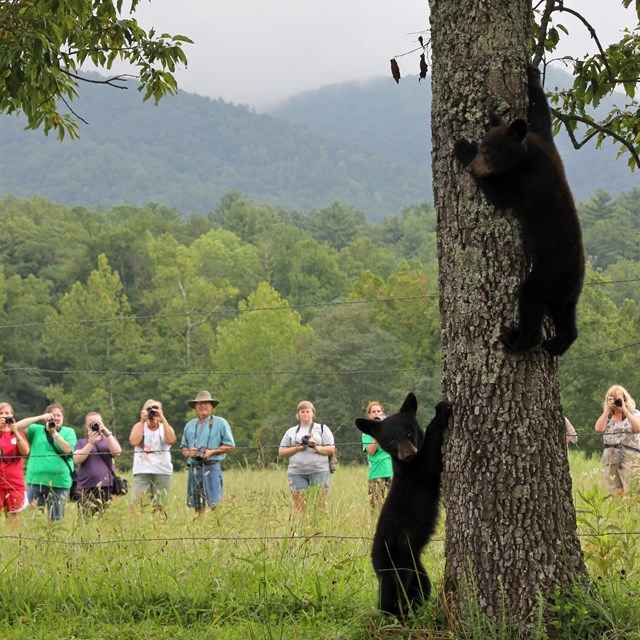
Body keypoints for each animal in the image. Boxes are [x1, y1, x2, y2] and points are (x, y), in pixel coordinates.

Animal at [355, 393, 452, 618]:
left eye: (409, 433)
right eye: (392, 440)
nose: (408, 454)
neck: (406, 464)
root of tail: (373, 557)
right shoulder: (418, 470)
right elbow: (430, 454)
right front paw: (440, 412)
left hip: (416, 567)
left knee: (420, 588)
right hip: (392, 564)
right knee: (390, 593)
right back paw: (393, 615)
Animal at [453, 65, 584, 356]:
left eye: (490, 152)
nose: (473, 167)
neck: (525, 155)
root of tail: (575, 276)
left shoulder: (527, 183)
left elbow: (499, 193)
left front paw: (463, 150)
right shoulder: (544, 139)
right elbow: (540, 115)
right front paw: (533, 75)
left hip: (550, 273)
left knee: (531, 297)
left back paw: (518, 339)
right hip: (565, 296)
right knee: (566, 318)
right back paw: (557, 343)